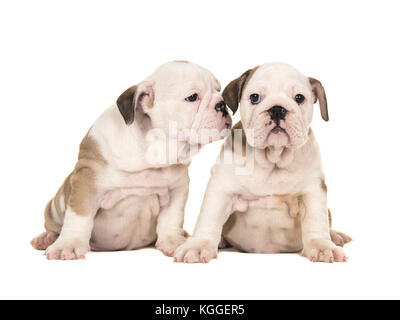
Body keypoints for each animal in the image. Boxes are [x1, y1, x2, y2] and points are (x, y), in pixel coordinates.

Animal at [31, 60, 231, 260]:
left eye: (219, 91)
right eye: (192, 97)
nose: (222, 104)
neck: (152, 150)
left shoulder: (177, 189)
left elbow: (171, 217)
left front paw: (173, 240)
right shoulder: (86, 183)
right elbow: (79, 217)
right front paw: (69, 244)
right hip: (55, 206)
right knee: (54, 224)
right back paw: (46, 238)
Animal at [174, 62, 350, 262]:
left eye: (299, 98)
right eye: (255, 97)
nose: (277, 109)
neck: (273, 158)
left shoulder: (312, 191)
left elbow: (316, 220)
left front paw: (322, 246)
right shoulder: (221, 189)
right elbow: (209, 218)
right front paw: (198, 246)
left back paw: (335, 236)